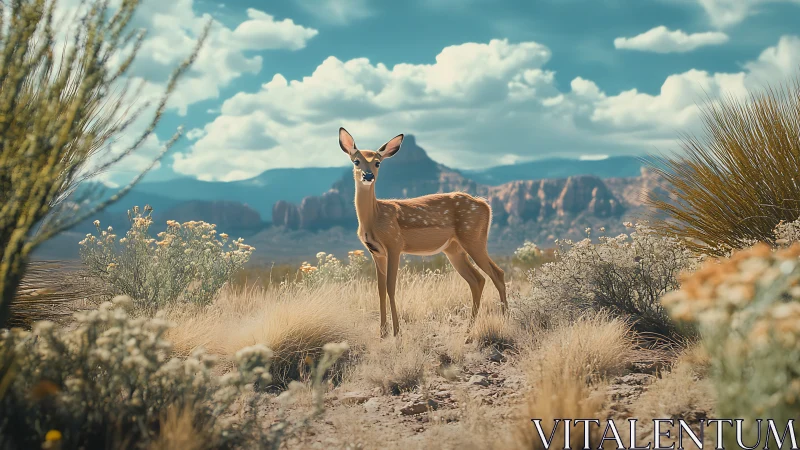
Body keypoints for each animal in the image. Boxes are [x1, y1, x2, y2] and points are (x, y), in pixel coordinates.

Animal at [338, 127, 507, 338]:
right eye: (356, 161)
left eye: (378, 162)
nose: (368, 176)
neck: (374, 217)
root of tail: (485, 204)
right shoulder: (376, 252)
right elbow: (379, 289)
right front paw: (382, 332)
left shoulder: (394, 244)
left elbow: (391, 287)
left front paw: (396, 332)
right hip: (454, 249)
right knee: (478, 279)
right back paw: (468, 332)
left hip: (474, 238)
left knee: (497, 273)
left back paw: (505, 321)